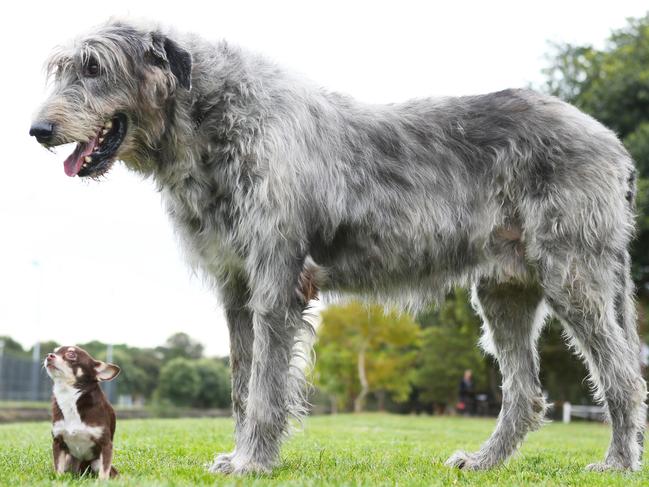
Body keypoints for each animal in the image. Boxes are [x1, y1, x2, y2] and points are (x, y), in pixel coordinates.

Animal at [44, 346, 120, 480]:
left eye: (71, 354)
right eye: (55, 351)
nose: (49, 355)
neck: (69, 396)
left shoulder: (106, 445)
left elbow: (104, 472)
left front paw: (102, 482)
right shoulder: (58, 442)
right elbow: (58, 469)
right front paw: (58, 480)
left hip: (96, 462)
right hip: (69, 459)